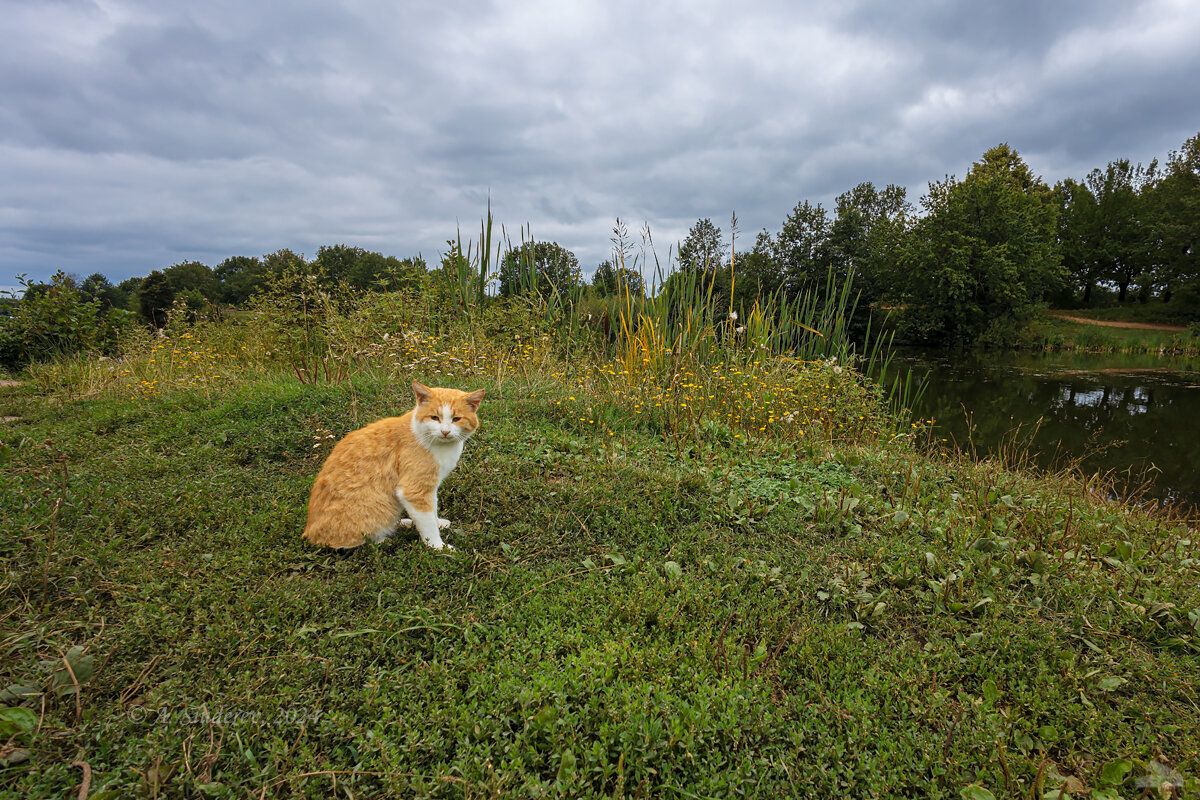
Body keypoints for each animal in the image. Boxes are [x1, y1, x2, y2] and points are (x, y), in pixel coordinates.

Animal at [302, 381, 484, 551]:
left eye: (456, 419)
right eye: (434, 418)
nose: (445, 432)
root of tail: (308, 533)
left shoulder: (430, 487)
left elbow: (432, 510)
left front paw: (438, 522)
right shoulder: (413, 490)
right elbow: (428, 524)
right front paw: (437, 546)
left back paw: (404, 523)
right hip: (378, 506)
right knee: (355, 544)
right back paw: (384, 539)